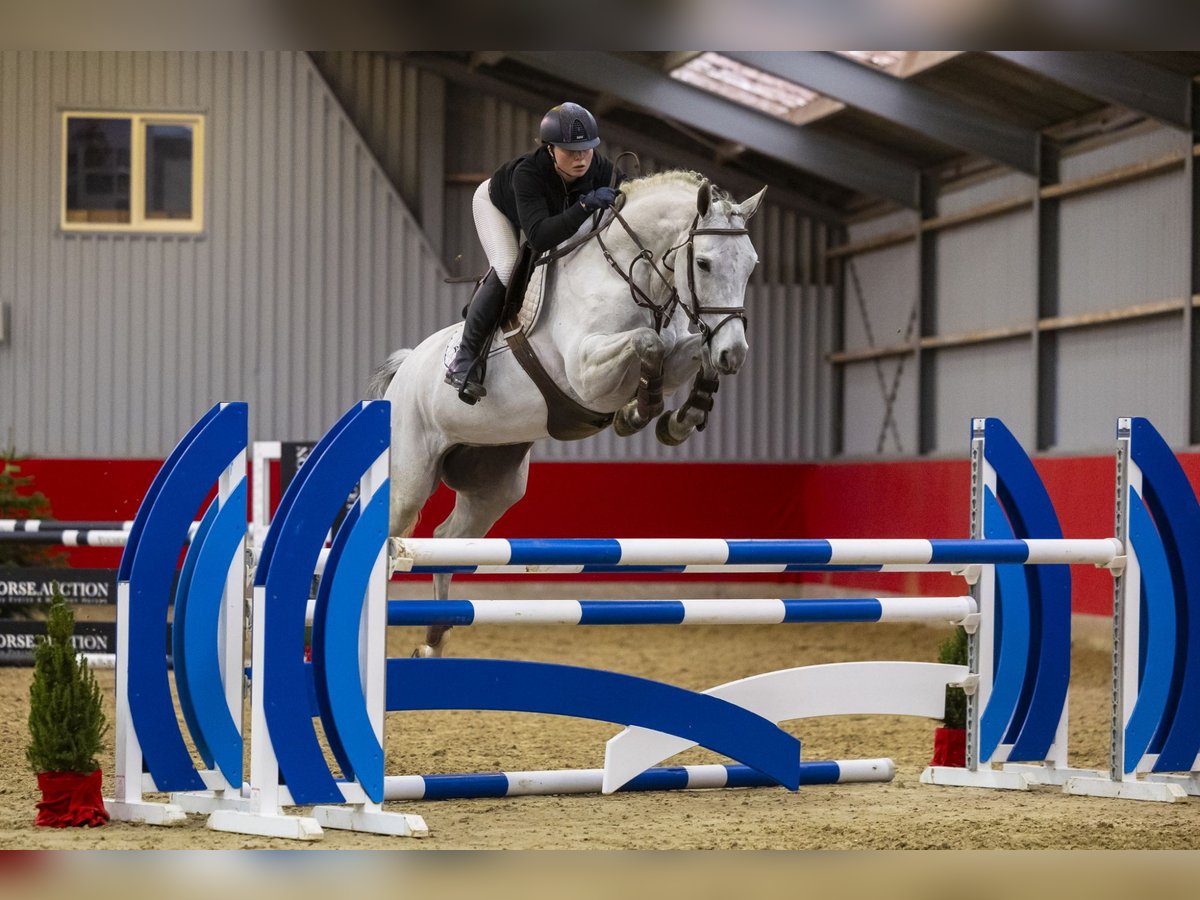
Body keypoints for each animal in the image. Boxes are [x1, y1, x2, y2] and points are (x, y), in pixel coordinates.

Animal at [364, 170, 763, 657]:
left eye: (751, 265)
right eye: (703, 264)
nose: (735, 354)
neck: (631, 275)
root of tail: (404, 370)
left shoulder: (675, 356)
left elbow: (687, 352)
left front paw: (680, 418)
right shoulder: (586, 374)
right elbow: (647, 343)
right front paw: (638, 412)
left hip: (494, 482)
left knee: (447, 539)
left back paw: (435, 638)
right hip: (409, 477)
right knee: (393, 536)